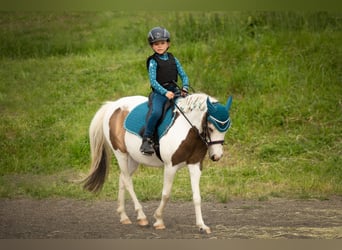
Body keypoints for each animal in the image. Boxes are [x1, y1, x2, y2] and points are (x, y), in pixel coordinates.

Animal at [83, 93, 232, 233]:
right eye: (211, 128)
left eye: (226, 129)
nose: (216, 156)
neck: (187, 129)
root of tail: (112, 105)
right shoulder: (170, 166)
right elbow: (166, 194)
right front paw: (159, 219)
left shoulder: (195, 164)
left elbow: (197, 197)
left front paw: (202, 226)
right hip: (121, 154)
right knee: (128, 181)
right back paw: (141, 217)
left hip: (133, 159)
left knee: (122, 179)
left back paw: (124, 216)